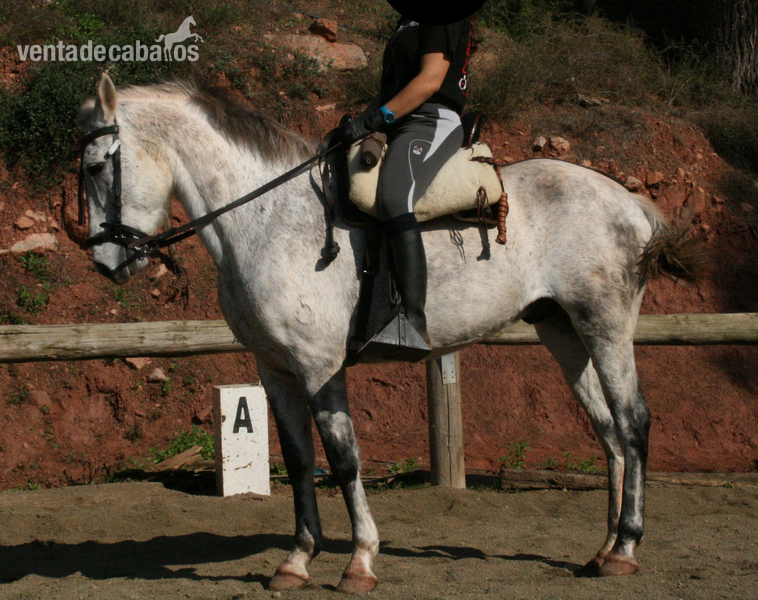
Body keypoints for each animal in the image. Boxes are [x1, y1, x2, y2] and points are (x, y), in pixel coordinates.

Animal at [77, 73, 705, 593]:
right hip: (564, 332)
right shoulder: (274, 369)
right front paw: (297, 561)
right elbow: (300, 460)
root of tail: (629, 201)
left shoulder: (318, 365)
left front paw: (359, 561)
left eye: (95, 167)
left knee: (633, 422)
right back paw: (602, 549)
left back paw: (626, 548)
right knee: (608, 431)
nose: (105, 262)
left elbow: (343, 459)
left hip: (605, 326)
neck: (268, 220)